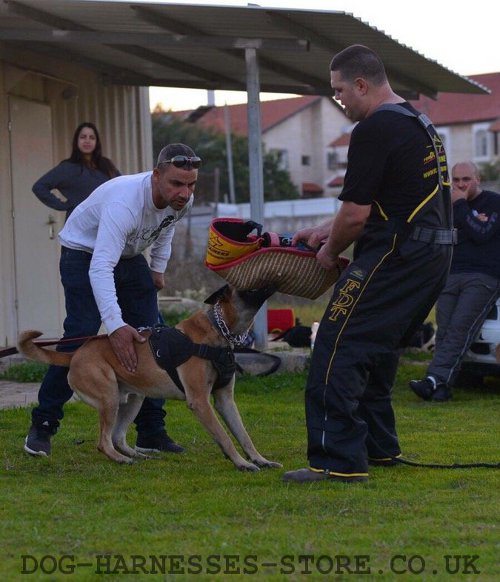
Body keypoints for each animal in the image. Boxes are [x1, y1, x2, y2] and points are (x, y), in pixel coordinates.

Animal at [16, 286, 282, 472]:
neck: (219, 330)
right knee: (104, 441)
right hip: (109, 397)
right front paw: (241, 463)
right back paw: (121, 459)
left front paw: (259, 459)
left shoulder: (225, 400)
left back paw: (136, 454)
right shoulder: (200, 402)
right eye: (250, 285)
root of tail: (75, 354)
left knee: (117, 436)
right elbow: (226, 437)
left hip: (134, 398)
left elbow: (244, 435)